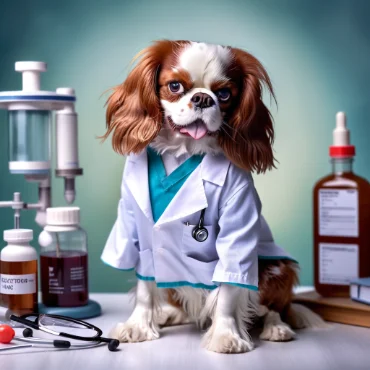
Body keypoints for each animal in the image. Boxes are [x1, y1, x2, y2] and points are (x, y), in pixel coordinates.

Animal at [101, 39, 324, 352]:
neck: (182, 152)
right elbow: (146, 285)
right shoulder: (135, 225)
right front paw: (139, 326)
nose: (203, 99)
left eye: (224, 93)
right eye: (174, 86)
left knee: (274, 308)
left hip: (277, 269)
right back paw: (170, 313)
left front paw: (226, 336)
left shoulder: (237, 227)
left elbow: (230, 289)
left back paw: (276, 328)